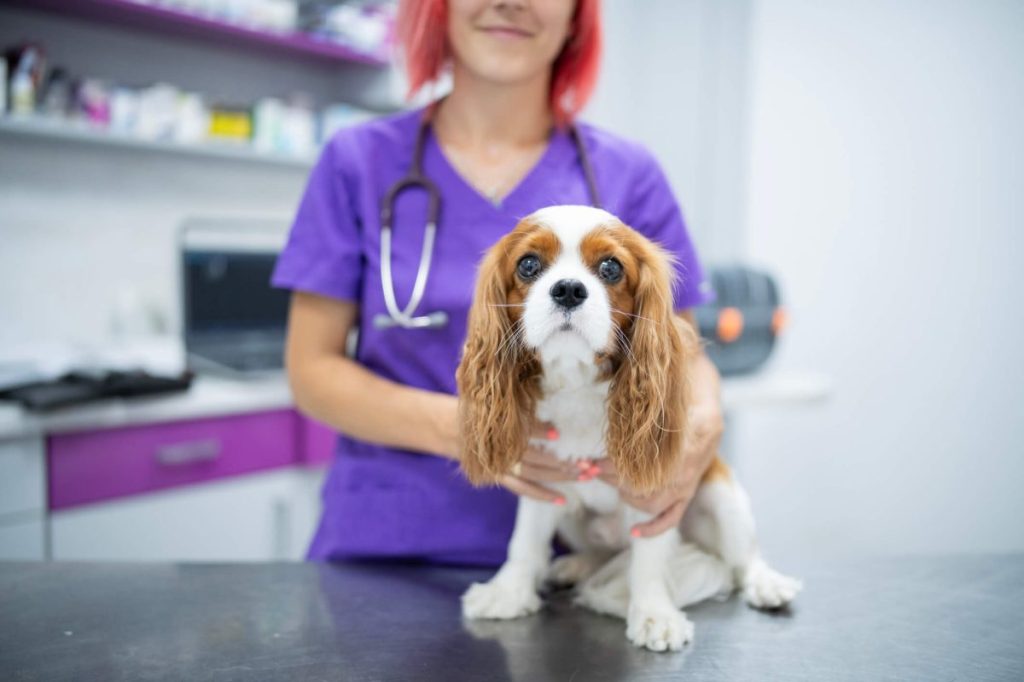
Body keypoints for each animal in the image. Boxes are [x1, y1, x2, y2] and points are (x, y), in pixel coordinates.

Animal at [456, 205, 798, 647]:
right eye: (528, 264)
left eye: (611, 267)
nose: (568, 289)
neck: (578, 381)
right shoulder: (544, 481)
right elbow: (525, 541)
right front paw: (509, 592)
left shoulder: (655, 493)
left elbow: (649, 558)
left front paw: (654, 614)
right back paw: (576, 566)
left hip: (722, 494)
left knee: (744, 557)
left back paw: (767, 583)